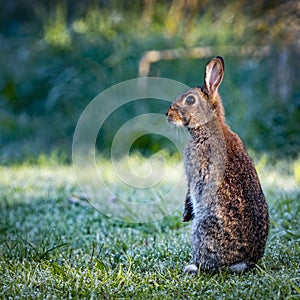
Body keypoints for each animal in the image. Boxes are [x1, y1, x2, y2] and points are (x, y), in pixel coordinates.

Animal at [165, 56, 268, 274]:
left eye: (190, 100)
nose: (167, 114)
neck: (207, 125)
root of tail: (244, 261)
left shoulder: (194, 172)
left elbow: (190, 191)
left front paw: (186, 214)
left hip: (201, 229)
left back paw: (192, 268)